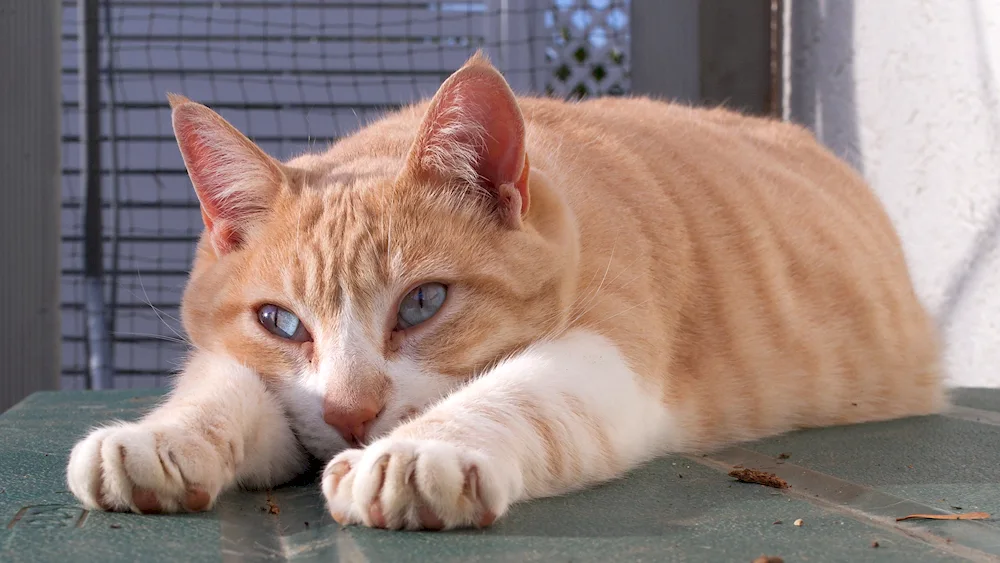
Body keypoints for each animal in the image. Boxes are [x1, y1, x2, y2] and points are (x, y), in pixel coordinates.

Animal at [66, 50, 940, 532]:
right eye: (281, 321)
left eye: (422, 303)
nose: (351, 415)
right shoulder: (258, 374)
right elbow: (223, 388)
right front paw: (156, 439)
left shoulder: (608, 356)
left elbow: (515, 393)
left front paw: (417, 454)